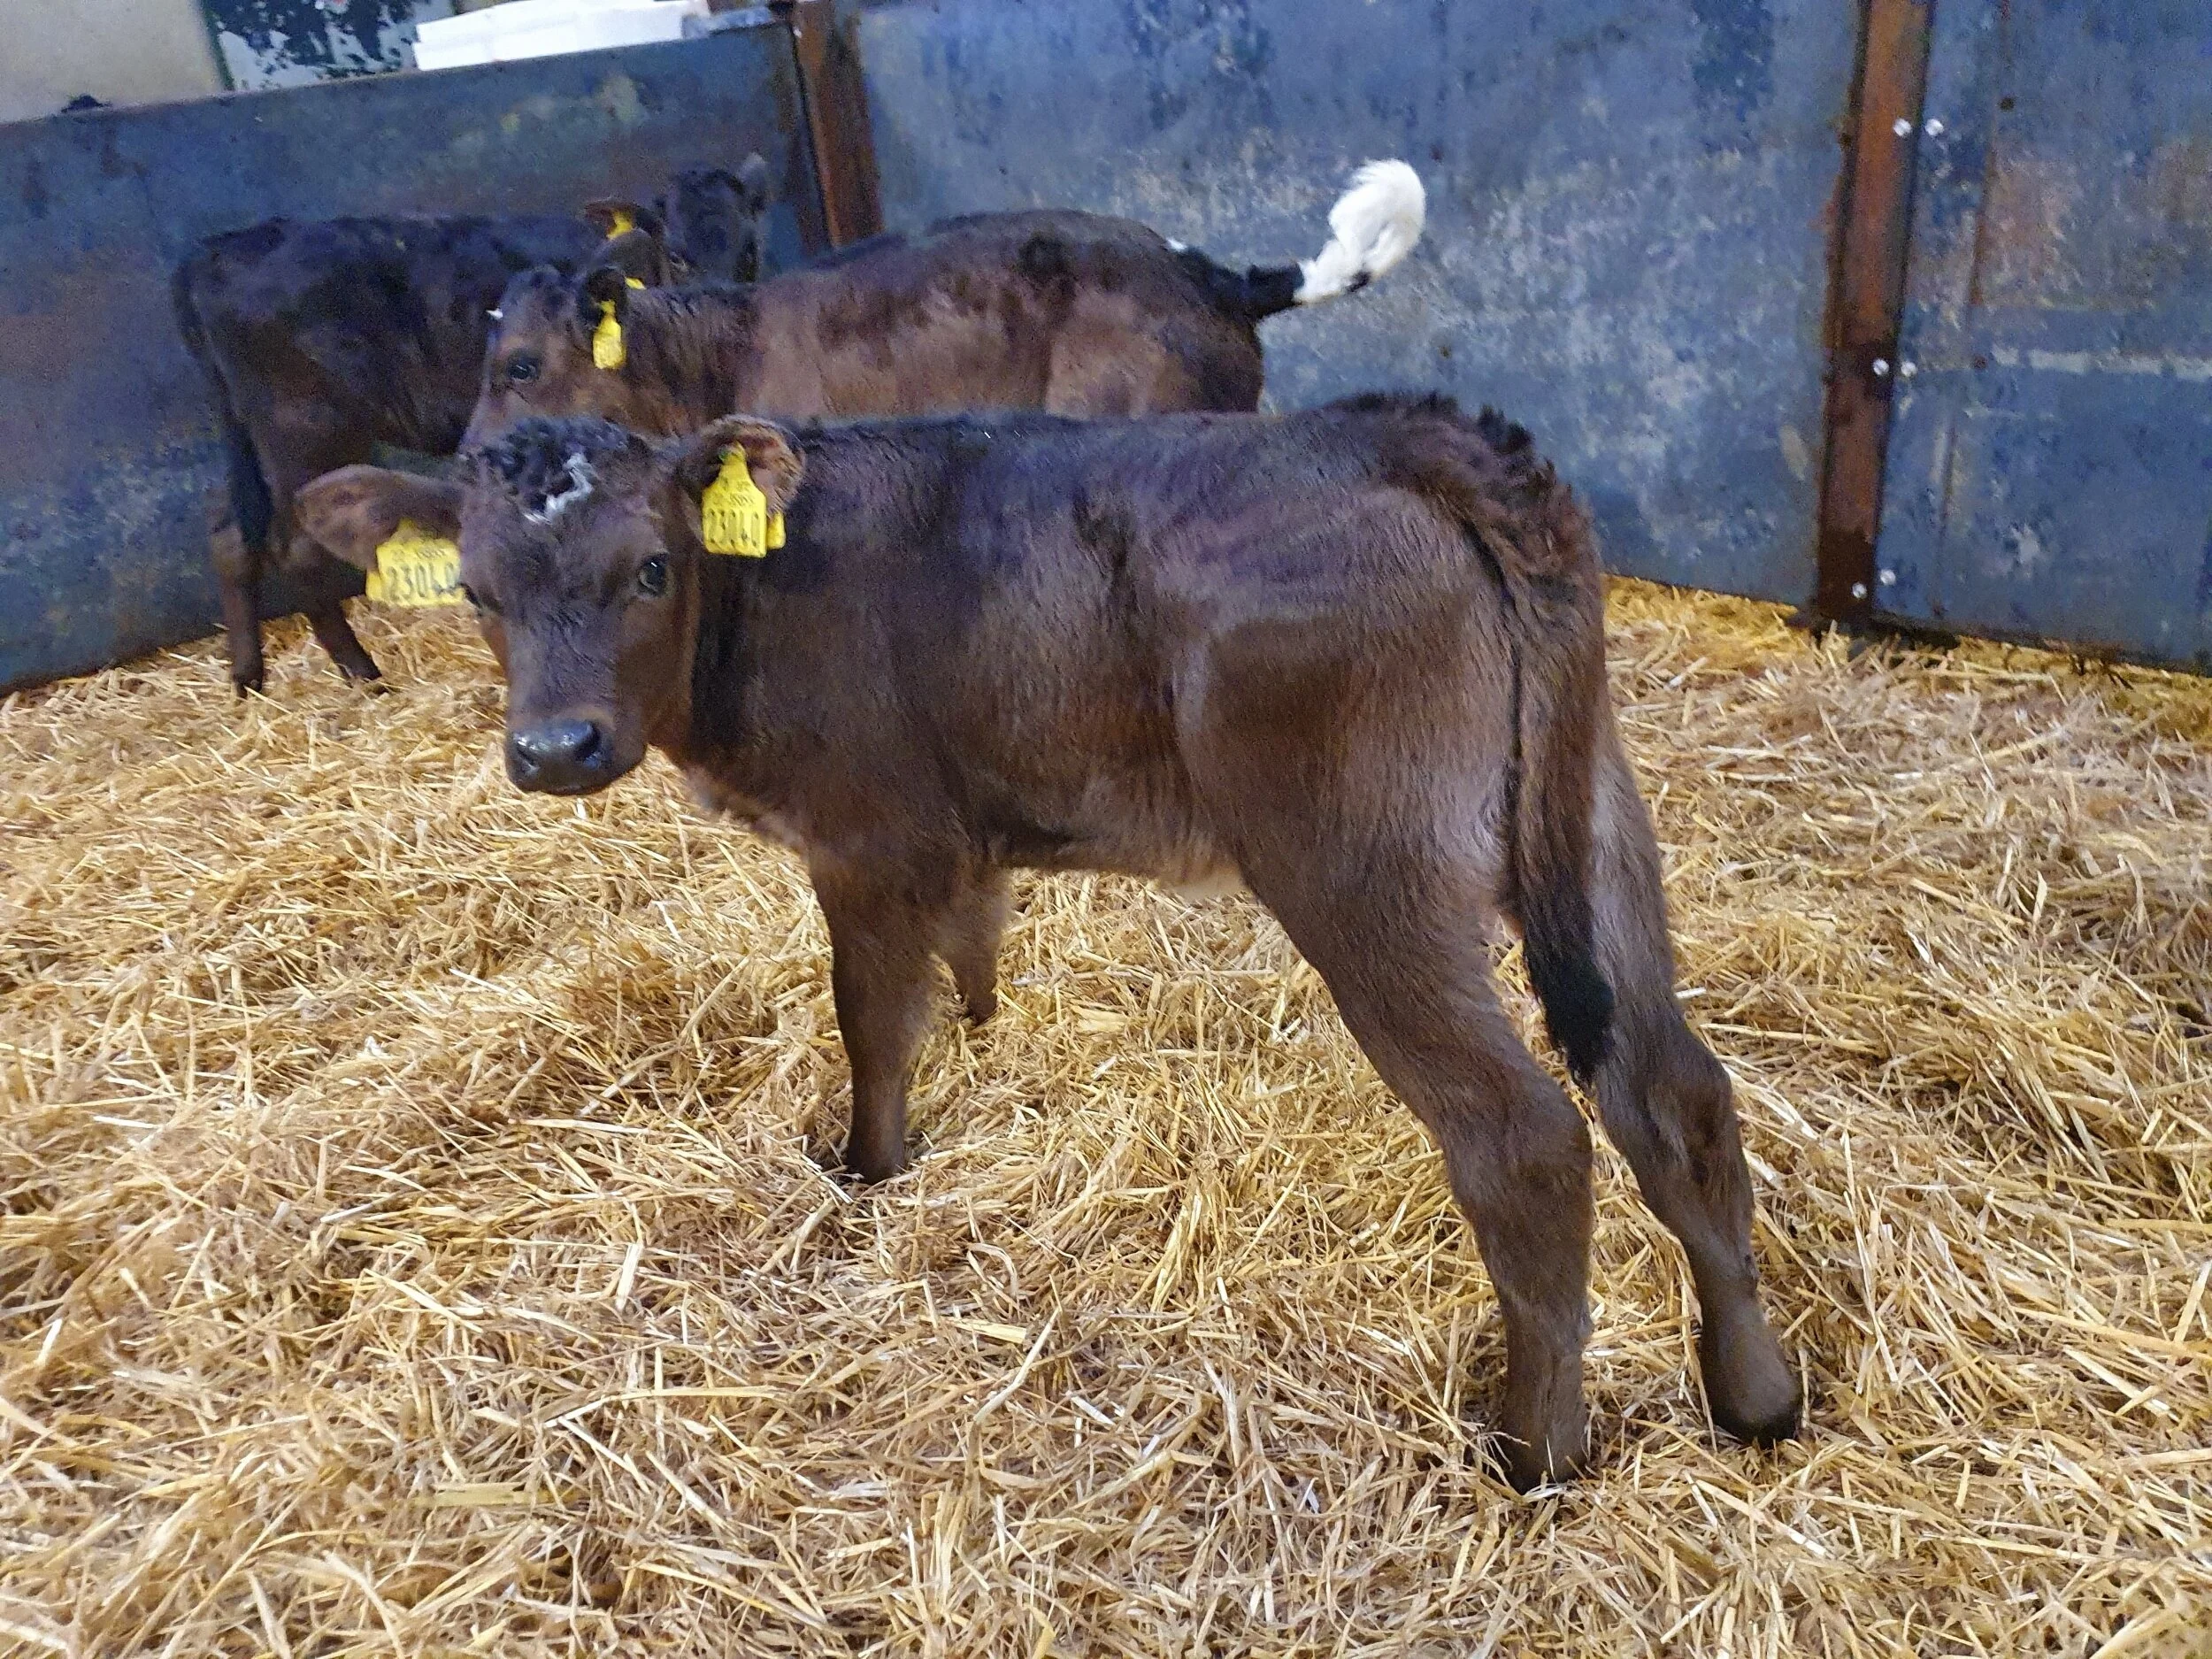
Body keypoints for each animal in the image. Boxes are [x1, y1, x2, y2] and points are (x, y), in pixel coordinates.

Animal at [172, 157, 773, 694]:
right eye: (678, 254)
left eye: (749, 249)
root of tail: (218, 249)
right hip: (304, 431)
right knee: (295, 547)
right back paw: (360, 671)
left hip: (251, 436)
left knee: (230, 533)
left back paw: (248, 676)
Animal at [294, 393, 1802, 1490]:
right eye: (478, 593)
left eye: (651, 566)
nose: (556, 747)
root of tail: (1397, 427)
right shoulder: (959, 830)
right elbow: (971, 946)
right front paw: (986, 1039)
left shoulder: (865, 834)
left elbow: (869, 1018)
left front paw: (868, 1171)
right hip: (1598, 825)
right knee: (1674, 1091)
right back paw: (1756, 1392)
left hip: (1366, 867)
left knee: (1526, 1138)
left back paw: (1533, 1449)